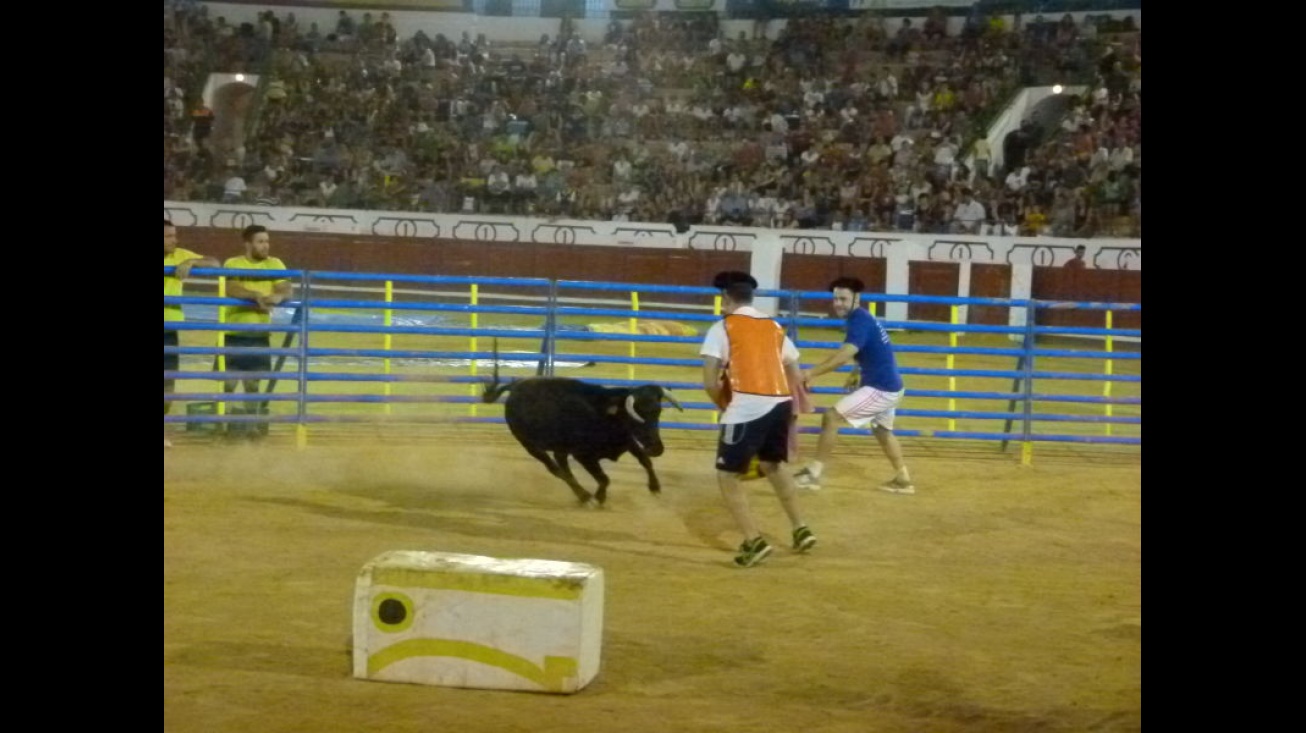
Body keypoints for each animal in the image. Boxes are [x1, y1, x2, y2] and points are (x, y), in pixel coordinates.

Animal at [480, 373, 684, 506]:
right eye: (638, 415)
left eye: (658, 411)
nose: (657, 448)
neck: (607, 414)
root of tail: (516, 387)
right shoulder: (583, 456)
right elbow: (604, 478)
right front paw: (600, 497)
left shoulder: (628, 442)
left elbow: (645, 461)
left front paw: (655, 487)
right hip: (531, 446)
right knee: (557, 470)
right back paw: (584, 496)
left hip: (560, 449)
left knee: (563, 466)